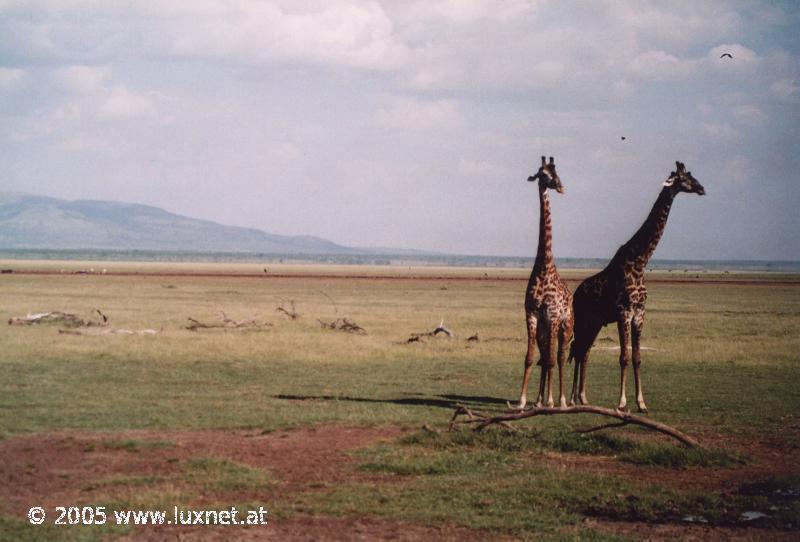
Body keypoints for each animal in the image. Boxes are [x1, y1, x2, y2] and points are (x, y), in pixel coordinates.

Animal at [512, 155, 576, 410]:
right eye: (544, 174)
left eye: (556, 171)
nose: (561, 186)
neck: (543, 267)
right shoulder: (532, 315)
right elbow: (530, 357)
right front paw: (522, 401)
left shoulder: (553, 316)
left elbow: (551, 360)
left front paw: (552, 400)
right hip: (545, 329)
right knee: (545, 356)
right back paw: (539, 400)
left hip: (565, 326)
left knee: (559, 357)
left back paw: (560, 400)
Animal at [568, 162, 708, 412]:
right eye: (684, 178)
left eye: (692, 175)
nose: (702, 188)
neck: (640, 262)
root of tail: (576, 294)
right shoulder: (624, 312)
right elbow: (624, 357)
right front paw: (622, 402)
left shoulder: (640, 313)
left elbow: (637, 357)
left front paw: (642, 402)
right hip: (584, 319)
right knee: (576, 348)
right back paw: (572, 398)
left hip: (595, 322)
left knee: (584, 351)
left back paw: (582, 397)